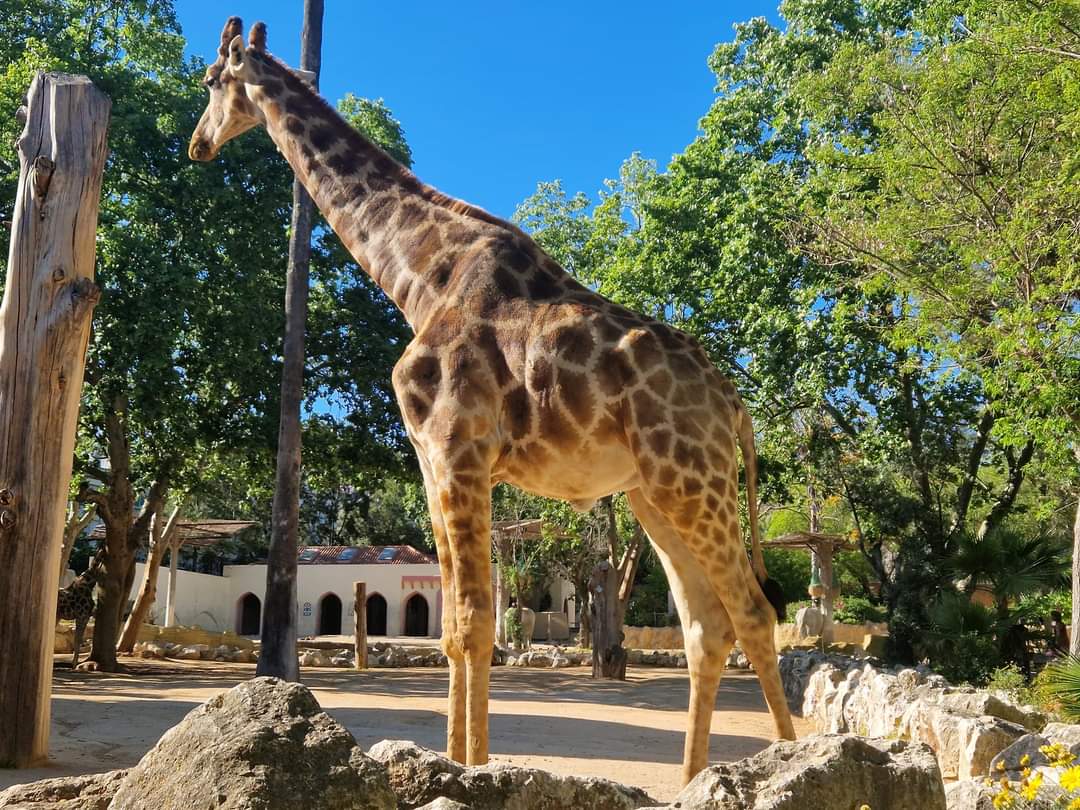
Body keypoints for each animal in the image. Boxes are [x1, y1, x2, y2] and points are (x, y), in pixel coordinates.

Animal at [189, 18, 796, 783]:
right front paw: (448, 764)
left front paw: (472, 770)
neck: (419, 276)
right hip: (654, 496)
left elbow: (478, 624)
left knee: (752, 612)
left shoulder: (458, 449)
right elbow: (453, 629)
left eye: (211, 81)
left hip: (693, 481)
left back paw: (785, 763)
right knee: (704, 627)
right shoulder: (432, 461)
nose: (197, 144)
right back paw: (696, 781)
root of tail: (734, 405)